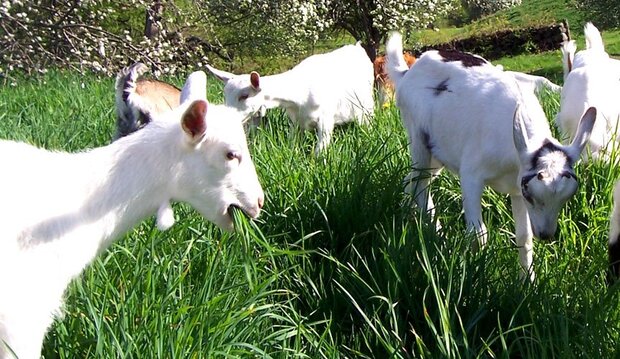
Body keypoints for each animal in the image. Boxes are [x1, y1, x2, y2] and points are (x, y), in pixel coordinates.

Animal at [206, 42, 376, 155]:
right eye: (225, 95)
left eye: (244, 96)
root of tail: (357, 46)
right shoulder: (295, 121)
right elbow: (293, 143)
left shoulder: (326, 120)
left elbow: (320, 149)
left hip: (366, 105)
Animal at [388, 31, 596, 282]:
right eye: (531, 195)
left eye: (567, 198)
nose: (546, 234)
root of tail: (407, 72)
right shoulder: (471, 176)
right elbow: (478, 235)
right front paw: (476, 276)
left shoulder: (516, 187)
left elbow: (524, 237)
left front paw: (527, 282)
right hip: (418, 138)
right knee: (420, 186)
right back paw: (439, 237)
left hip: (437, 153)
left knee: (411, 181)